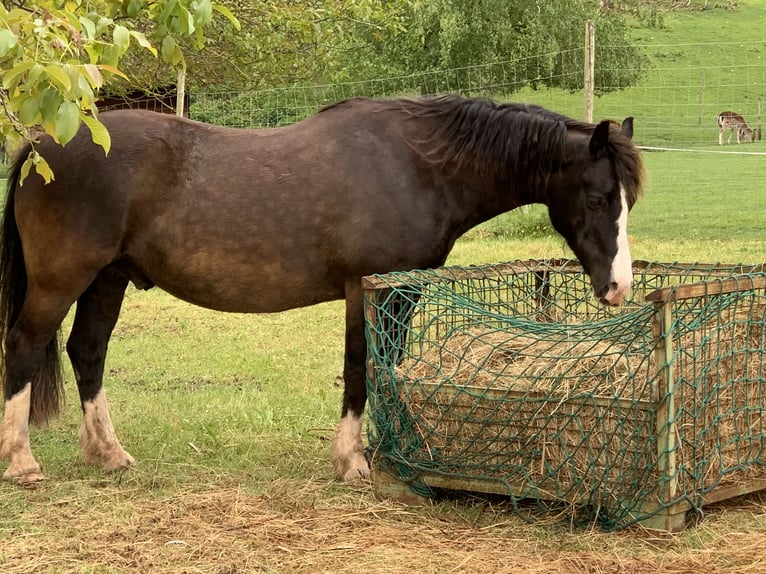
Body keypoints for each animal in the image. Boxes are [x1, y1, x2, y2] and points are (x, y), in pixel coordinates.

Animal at [0, 95, 644, 485]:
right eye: (596, 199)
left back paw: (108, 454)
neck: (418, 167)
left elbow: (391, 367)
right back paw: (22, 462)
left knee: (87, 352)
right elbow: (362, 368)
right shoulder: (368, 291)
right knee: (25, 350)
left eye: (629, 200)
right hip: (61, 282)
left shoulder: (400, 294)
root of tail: (40, 144)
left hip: (107, 280)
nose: (618, 288)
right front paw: (352, 459)